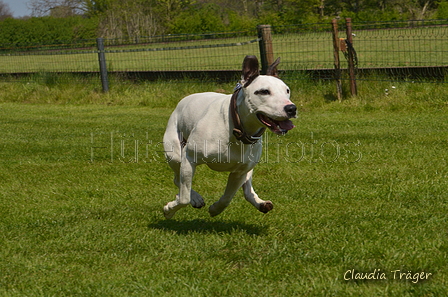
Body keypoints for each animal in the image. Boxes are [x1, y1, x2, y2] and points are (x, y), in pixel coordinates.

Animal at [163, 55, 296, 217]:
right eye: (264, 91)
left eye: (287, 90)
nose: (291, 108)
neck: (237, 127)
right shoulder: (189, 158)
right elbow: (183, 198)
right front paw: (169, 210)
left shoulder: (239, 173)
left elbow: (228, 197)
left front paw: (215, 209)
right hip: (175, 155)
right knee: (178, 180)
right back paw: (194, 198)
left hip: (248, 168)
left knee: (247, 188)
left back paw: (260, 202)